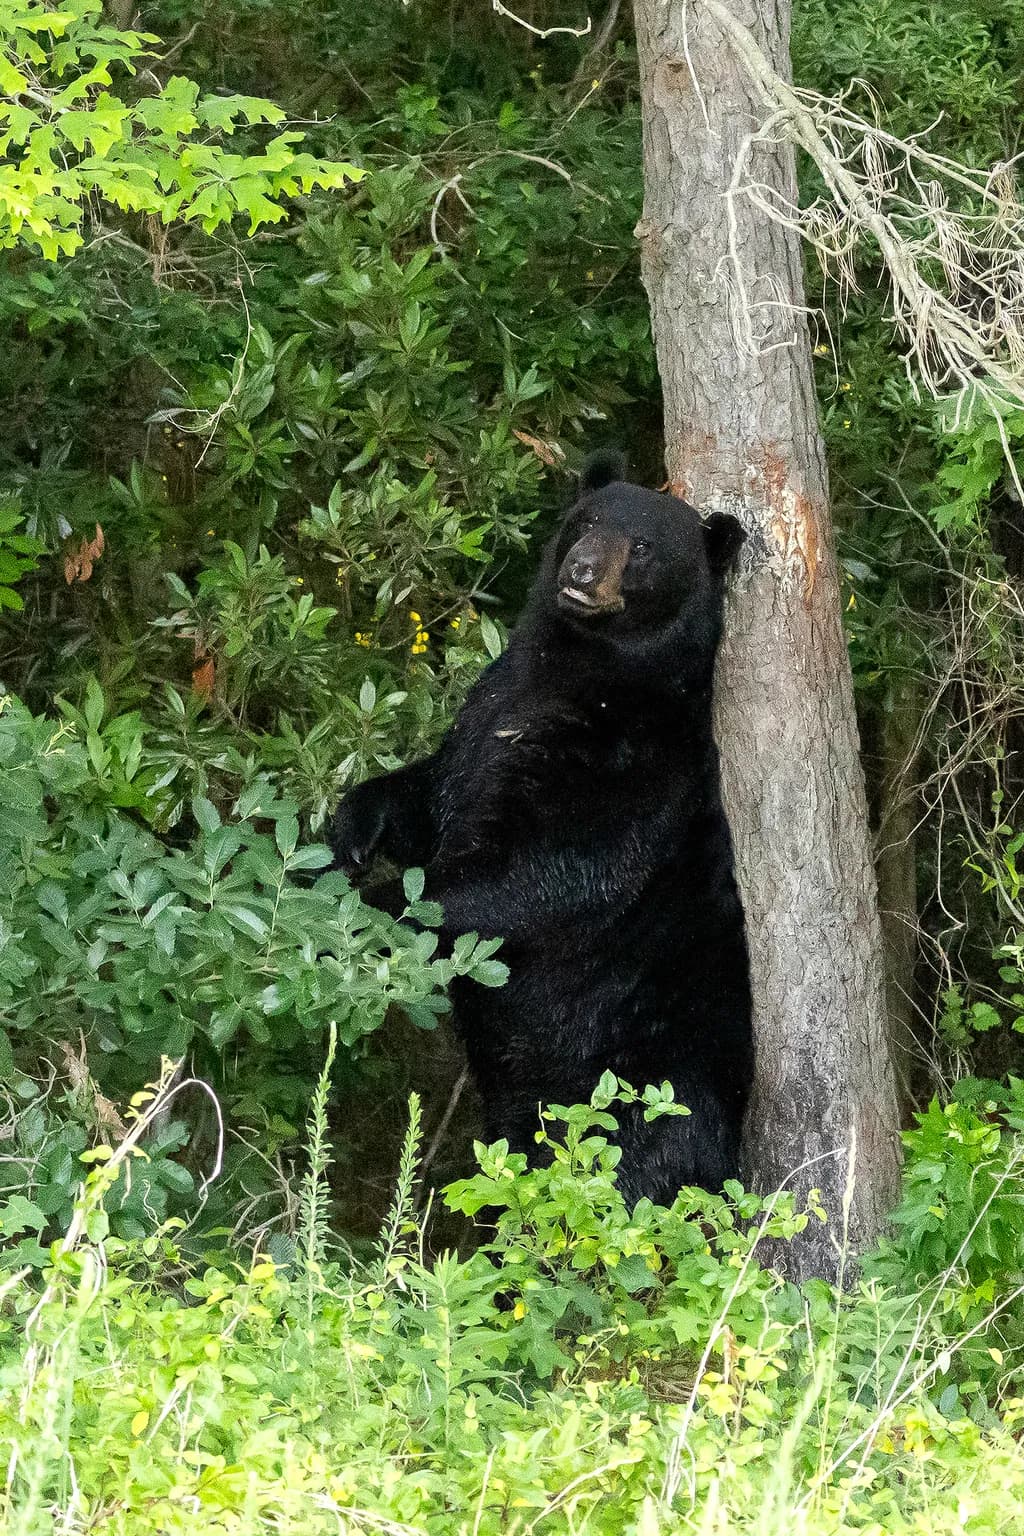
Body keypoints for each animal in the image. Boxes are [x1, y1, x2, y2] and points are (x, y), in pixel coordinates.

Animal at [330, 451, 753, 1205]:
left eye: (643, 547)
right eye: (584, 521)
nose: (582, 570)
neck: (583, 671)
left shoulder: (642, 763)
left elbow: (547, 874)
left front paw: (374, 903)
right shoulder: (489, 711)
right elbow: (434, 796)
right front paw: (353, 829)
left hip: (655, 1075)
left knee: (647, 1162)